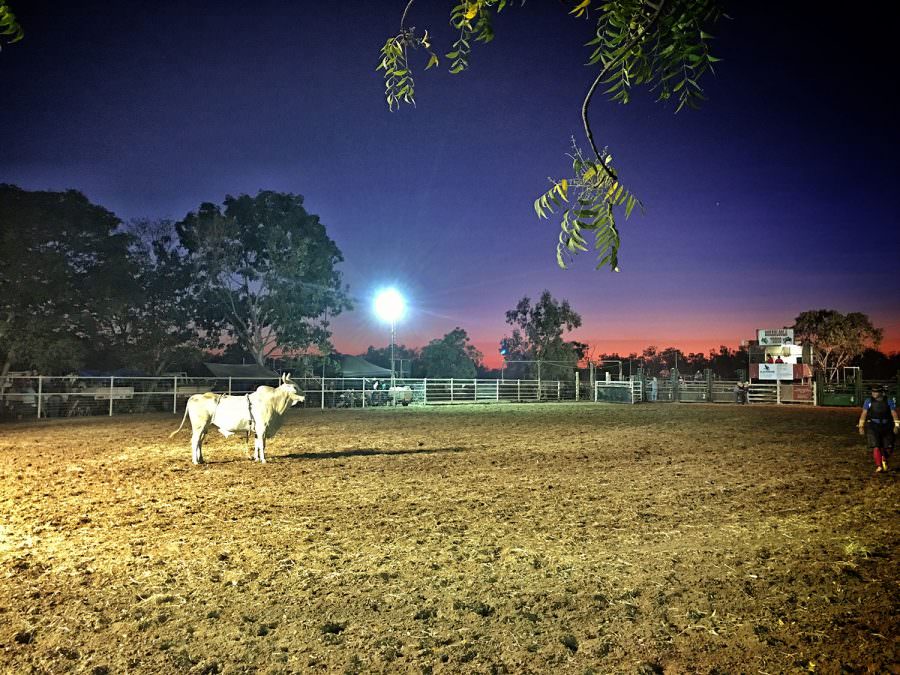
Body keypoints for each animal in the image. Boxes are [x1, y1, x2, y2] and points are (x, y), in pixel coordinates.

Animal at [169, 374, 306, 464]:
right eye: (294, 387)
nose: (304, 396)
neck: (273, 402)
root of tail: (194, 397)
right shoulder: (262, 428)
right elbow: (262, 444)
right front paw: (263, 459)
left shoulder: (256, 429)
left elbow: (257, 444)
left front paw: (256, 458)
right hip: (199, 426)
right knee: (194, 441)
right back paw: (195, 461)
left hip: (205, 427)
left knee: (200, 442)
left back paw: (201, 459)